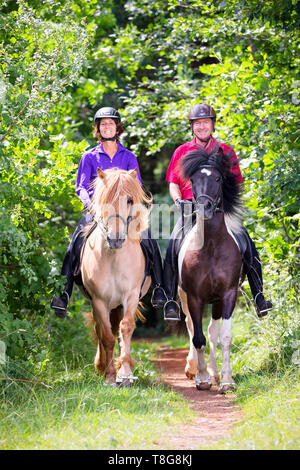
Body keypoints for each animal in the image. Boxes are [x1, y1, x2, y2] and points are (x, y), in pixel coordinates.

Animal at [80, 168, 152, 386]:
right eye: (105, 199)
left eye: (129, 200)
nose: (115, 239)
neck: (113, 257)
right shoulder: (99, 300)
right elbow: (107, 336)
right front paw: (110, 375)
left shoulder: (130, 295)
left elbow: (125, 328)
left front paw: (125, 372)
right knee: (101, 330)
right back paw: (101, 365)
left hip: (118, 305)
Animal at [177, 147, 243, 392]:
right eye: (193, 180)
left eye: (217, 178)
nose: (204, 208)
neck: (212, 245)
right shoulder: (195, 297)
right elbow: (197, 338)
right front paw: (202, 378)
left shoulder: (228, 294)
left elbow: (224, 337)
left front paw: (226, 380)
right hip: (184, 297)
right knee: (190, 327)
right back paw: (194, 369)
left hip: (215, 302)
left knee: (212, 333)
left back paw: (215, 372)